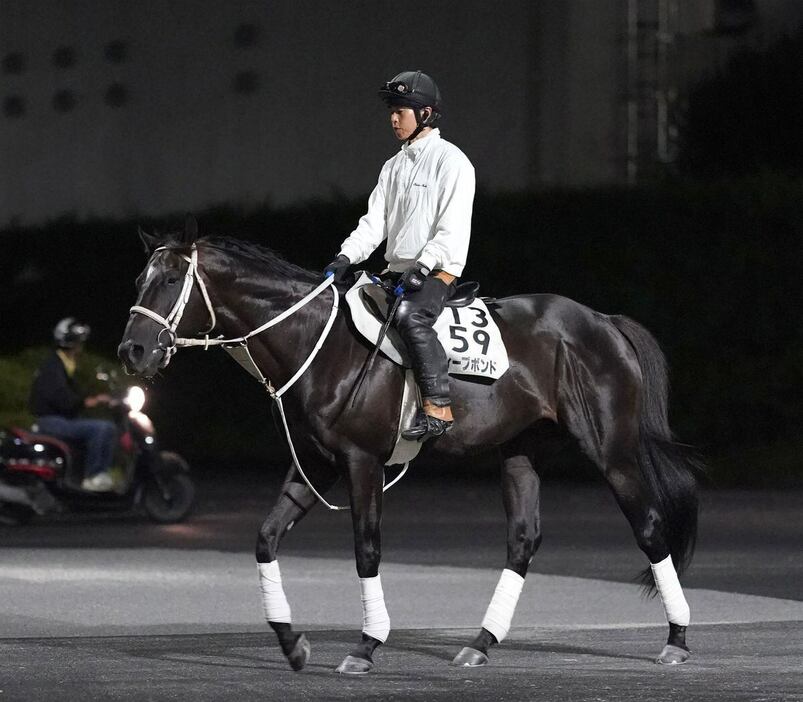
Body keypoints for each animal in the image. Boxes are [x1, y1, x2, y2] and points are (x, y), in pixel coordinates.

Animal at [116, 220, 700, 676]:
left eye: (172, 279)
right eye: (140, 280)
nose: (133, 350)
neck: (317, 342)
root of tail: (603, 322)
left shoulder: (362, 463)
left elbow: (367, 550)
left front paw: (366, 646)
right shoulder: (314, 465)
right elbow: (266, 540)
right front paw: (293, 644)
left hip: (612, 449)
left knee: (650, 528)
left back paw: (677, 640)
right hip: (519, 452)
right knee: (523, 540)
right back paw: (480, 643)